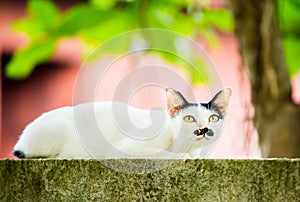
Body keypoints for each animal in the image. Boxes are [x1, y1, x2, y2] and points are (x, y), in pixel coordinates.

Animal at [12, 88, 231, 159]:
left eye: (212, 118)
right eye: (189, 118)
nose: (203, 129)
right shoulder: (127, 149)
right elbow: (167, 154)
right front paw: (181, 156)